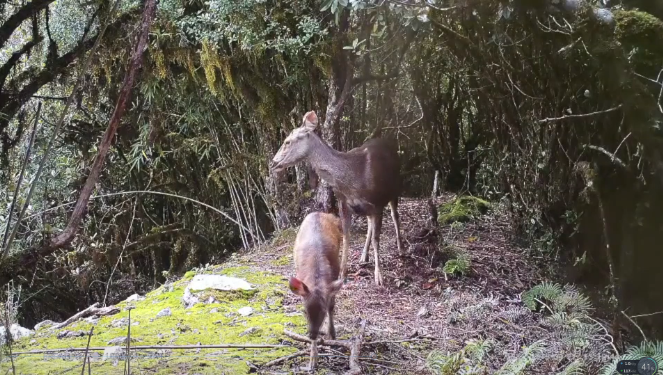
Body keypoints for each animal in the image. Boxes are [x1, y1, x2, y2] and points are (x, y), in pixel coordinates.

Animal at [270, 110, 404, 286]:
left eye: (287, 141)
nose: (273, 163)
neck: (352, 179)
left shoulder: (377, 202)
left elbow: (377, 239)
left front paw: (379, 277)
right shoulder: (344, 202)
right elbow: (346, 236)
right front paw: (342, 274)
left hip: (394, 189)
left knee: (395, 215)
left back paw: (401, 248)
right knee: (370, 222)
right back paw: (363, 256)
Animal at [288, 213, 344, 372]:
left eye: (323, 312)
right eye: (304, 311)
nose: (312, 334)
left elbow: (332, 306)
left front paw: (332, 333)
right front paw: (313, 361)